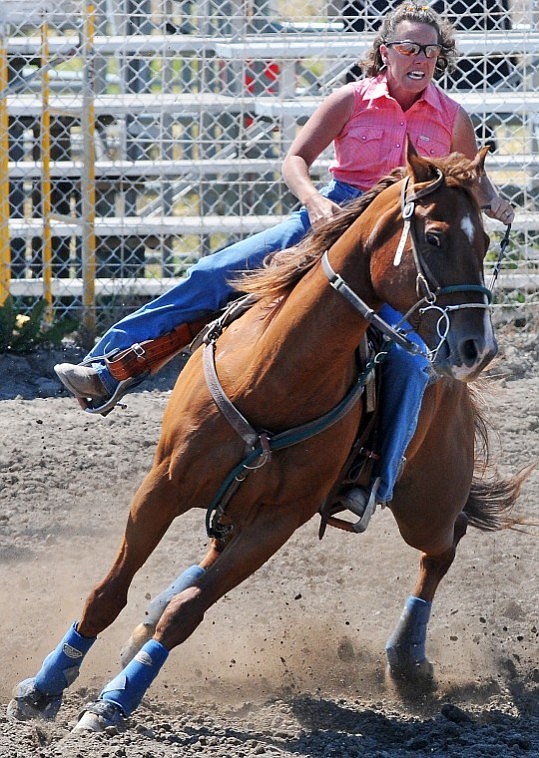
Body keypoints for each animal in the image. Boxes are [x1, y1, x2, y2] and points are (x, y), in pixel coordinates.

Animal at [9, 142, 524, 732]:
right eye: (435, 236)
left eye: (484, 240)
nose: (477, 347)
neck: (270, 377)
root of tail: (453, 384)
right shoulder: (162, 486)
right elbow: (107, 593)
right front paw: (45, 686)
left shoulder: (277, 521)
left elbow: (188, 613)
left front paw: (116, 700)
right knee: (207, 560)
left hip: (425, 503)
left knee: (443, 547)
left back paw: (408, 662)